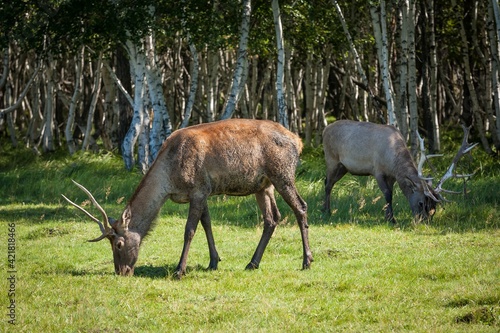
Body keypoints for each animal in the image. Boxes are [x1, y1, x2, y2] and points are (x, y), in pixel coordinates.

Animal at [62, 118, 312, 276]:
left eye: (119, 244)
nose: (121, 271)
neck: (170, 178)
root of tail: (298, 141)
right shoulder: (203, 192)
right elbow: (207, 223)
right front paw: (213, 262)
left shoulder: (198, 189)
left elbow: (190, 230)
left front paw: (179, 269)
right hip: (263, 185)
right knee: (272, 218)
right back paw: (252, 263)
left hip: (282, 174)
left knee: (300, 207)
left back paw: (306, 261)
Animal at [320, 119, 476, 223]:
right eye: (421, 203)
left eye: (434, 205)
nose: (424, 221)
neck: (393, 161)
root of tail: (325, 129)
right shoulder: (378, 170)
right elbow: (387, 194)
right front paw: (391, 219)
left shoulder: (392, 176)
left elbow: (391, 193)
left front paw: (387, 216)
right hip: (331, 159)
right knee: (328, 184)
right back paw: (326, 211)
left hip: (343, 167)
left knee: (327, 182)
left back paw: (324, 209)